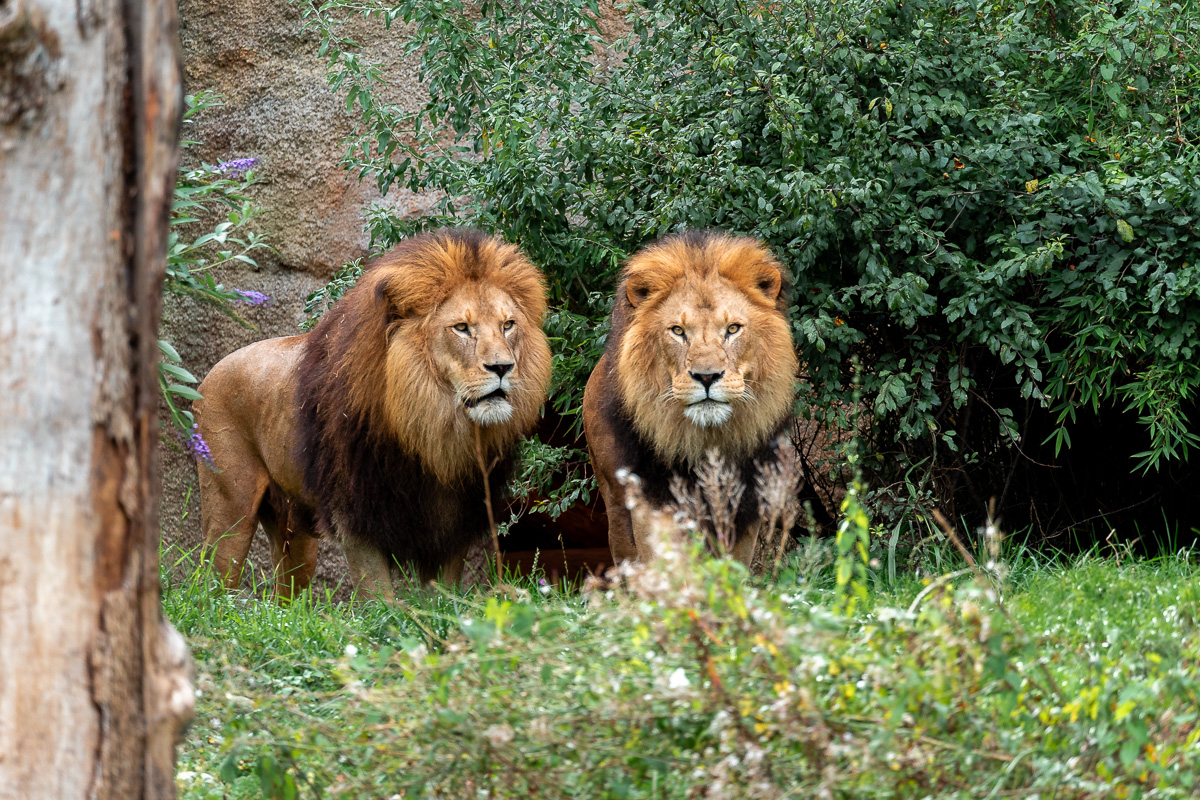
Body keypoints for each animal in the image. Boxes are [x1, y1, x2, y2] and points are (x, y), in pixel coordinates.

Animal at [195, 227, 552, 597]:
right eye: (462, 328)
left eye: (508, 325)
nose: (503, 367)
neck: (435, 429)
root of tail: (209, 374)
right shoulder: (356, 515)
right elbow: (379, 599)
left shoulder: (453, 521)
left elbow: (442, 595)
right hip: (231, 510)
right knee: (209, 582)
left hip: (296, 534)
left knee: (286, 594)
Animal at [578, 231, 796, 568]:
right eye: (678, 331)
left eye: (733, 329)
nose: (706, 377)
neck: (706, 439)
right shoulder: (652, 496)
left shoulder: (744, 504)